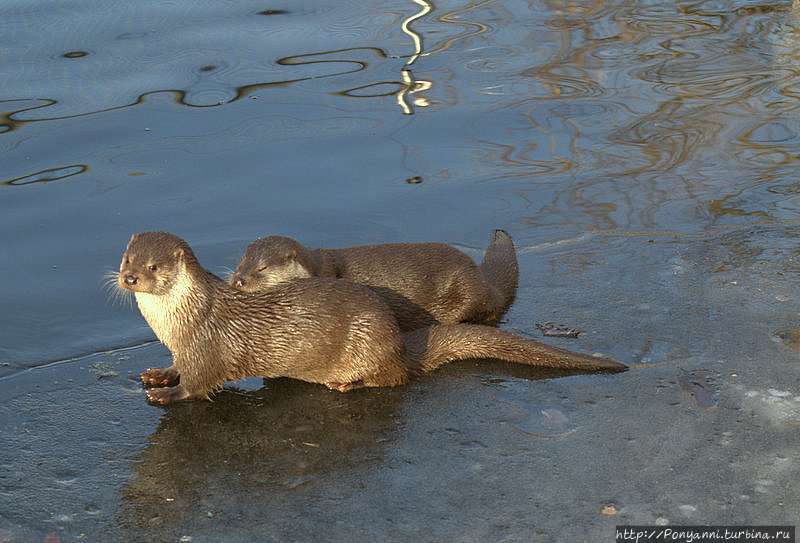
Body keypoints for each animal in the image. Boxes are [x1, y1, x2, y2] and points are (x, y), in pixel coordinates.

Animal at [230, 231, 520, 330]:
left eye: (262, 268)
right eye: (240, 262)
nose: (239, 281)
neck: (319, 270)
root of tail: (485, 282)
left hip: (465, 293)